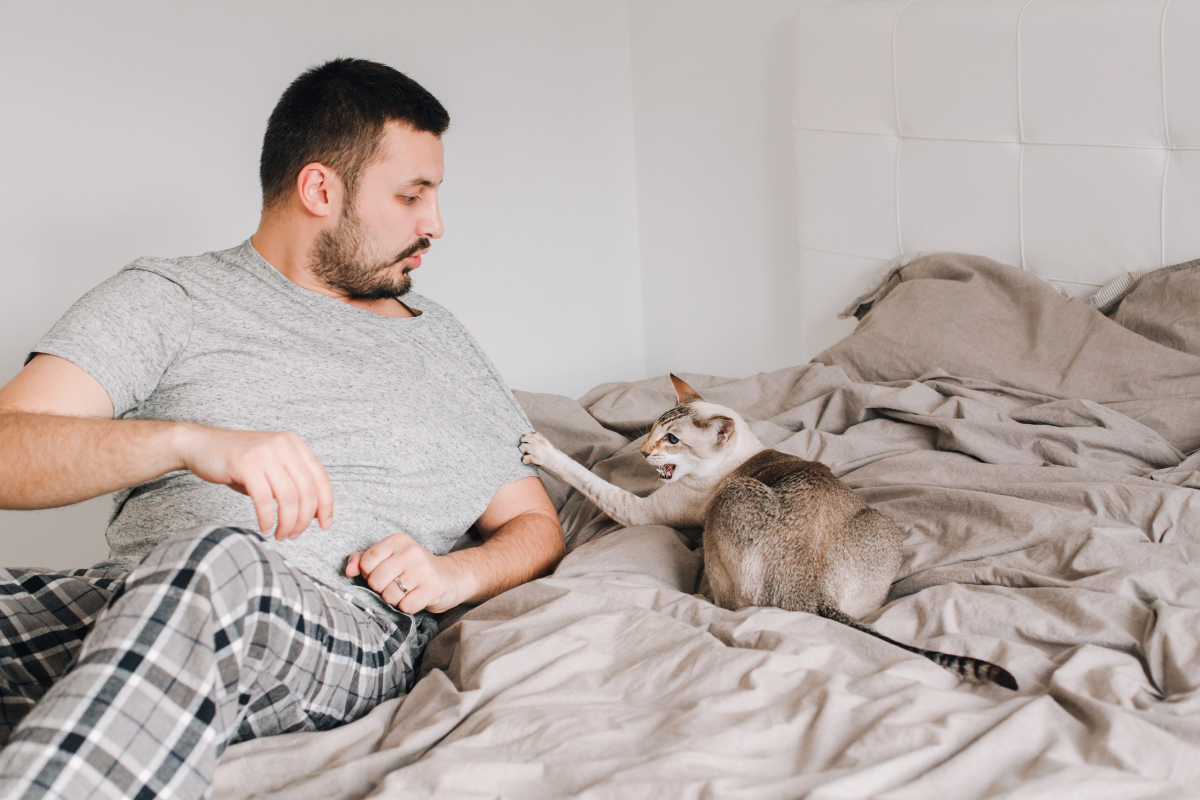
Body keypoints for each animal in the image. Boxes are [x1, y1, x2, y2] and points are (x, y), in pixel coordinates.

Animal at [520, 371, 1017, 690]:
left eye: (673, 440)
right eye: (655, 429)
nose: (643, 452)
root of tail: (812, 591)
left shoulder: (641, 509)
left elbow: (589, 477)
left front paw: (539, 448)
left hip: (729, 504)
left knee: (729, 603)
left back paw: (701, 593)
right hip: (880, 522)